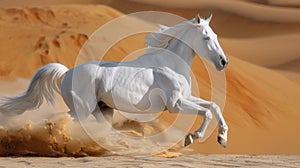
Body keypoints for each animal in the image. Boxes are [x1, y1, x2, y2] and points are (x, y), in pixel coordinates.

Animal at [1, 15, 229, 148]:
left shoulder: (186, 97)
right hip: (81, 110)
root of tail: (67, 73)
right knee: (62, 122)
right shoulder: (176, 104)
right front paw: (192, 137)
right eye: (206, 37)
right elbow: (207, 112)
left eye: (216, 35)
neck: (169, 64)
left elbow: (213, 106)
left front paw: (222, 138)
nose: (223, 62)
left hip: (102, 111)